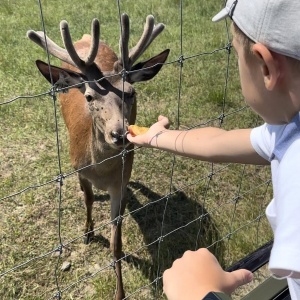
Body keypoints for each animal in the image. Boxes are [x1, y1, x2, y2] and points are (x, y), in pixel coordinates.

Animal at [27, 12, 169, 298]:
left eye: (131, 92)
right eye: (90, 97)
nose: (119, 134)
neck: (102, 172)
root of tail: (84, 38)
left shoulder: (121, 183)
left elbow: (116, 243)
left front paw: (120, 292)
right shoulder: (78, 168)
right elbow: (88, 199)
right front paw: (87, 232)